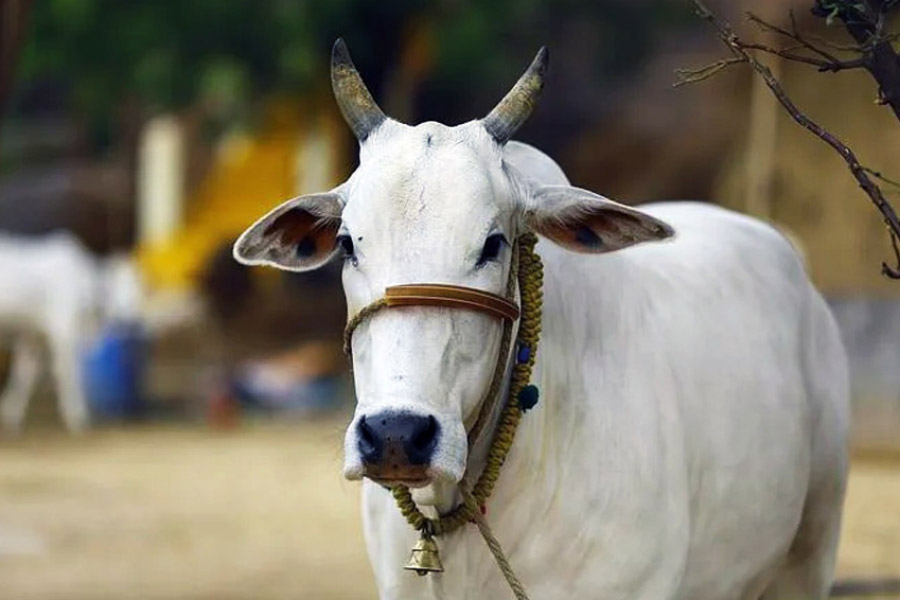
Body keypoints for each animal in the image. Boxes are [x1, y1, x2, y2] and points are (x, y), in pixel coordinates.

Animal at [0, 230, 142, 432]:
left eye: (142, 288)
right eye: (117, 289)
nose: (134, 320)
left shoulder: (33, 335)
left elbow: (24, 374)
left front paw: (10, 415)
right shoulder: (64, 332)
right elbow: (69, 374)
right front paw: (77, 418)